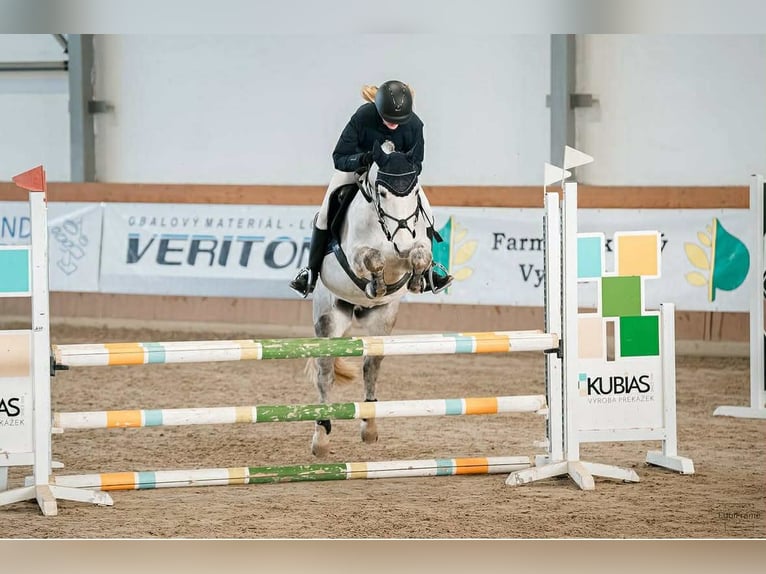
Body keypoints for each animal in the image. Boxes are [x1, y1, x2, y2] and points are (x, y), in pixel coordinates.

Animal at [307, 140, 438, 456]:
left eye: (414, 191)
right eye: (383, 193)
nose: (402, 245)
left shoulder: (416, 246)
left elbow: (420, 255)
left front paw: (416, 278)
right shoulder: (356, 255)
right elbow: (372, 257)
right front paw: (375, 282)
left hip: (382, 318)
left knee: (371, 364)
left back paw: (369, 426)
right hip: (329, 317)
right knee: (325, 371)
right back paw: (321, 437)